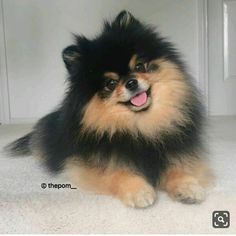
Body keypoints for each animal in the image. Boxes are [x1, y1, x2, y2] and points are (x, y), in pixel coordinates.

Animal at [5, 11, 213, 208]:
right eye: (110, 83)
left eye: (139, 66)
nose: (131, 82)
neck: (140, 126)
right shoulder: (87, 165)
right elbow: (118, 172)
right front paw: (139, 191)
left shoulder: (177, 151)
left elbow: (179, 167)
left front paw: (188, 187)